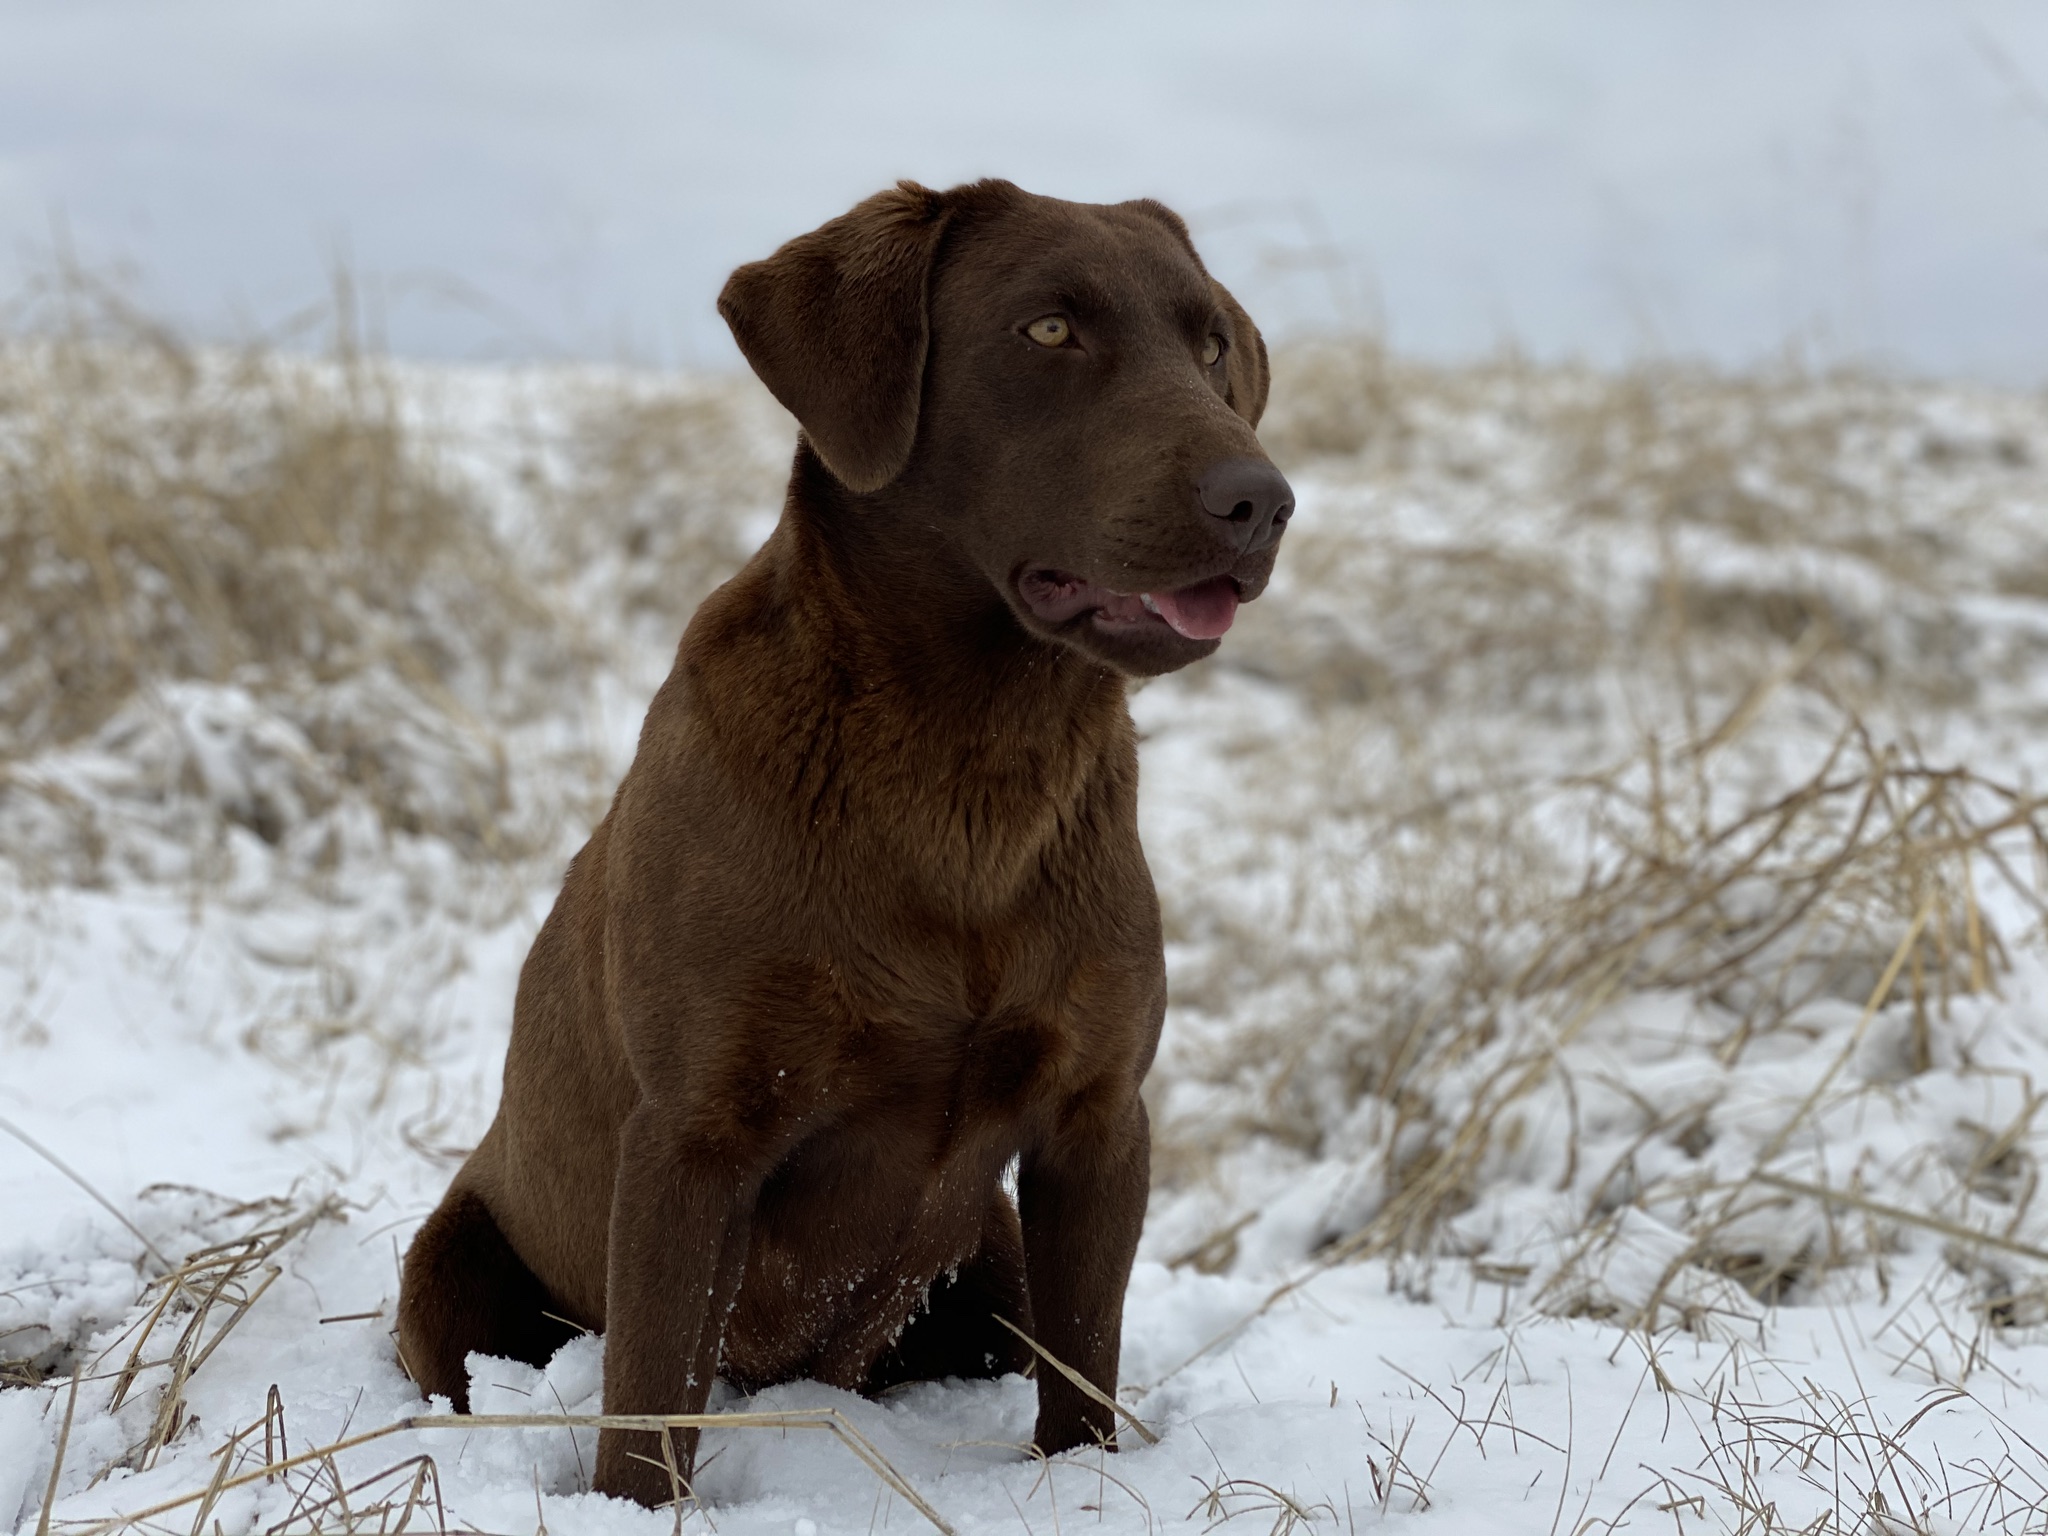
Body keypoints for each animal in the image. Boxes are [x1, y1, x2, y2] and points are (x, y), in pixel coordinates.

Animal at [397, 177, 1286, 1507]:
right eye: (1048, 329)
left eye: (1211, 344)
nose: (1260, 500)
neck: (969, 771)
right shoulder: (690, 1140)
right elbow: (649, 1399)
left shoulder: (1097, 1117)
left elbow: (1083, 1366)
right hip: (449, 1266)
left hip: (990, 1256)